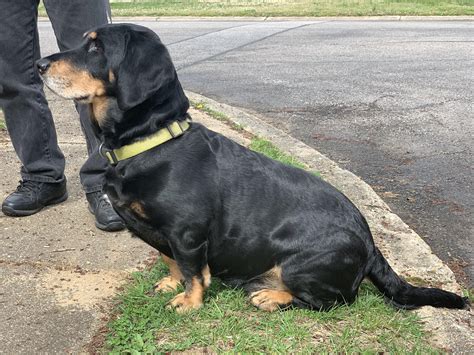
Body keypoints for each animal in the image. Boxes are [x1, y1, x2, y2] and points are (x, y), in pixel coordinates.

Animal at [37, 23, 466, 312]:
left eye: (95, 48)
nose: (39, 64)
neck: (153, 141)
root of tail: (371, 244)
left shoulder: (187, 233)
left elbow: (194, 271)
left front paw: (189, 302)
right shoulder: (165, 237)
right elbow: (171, 261)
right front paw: (170, 284)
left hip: (300, 266)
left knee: (332, 301)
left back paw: (271, 296)